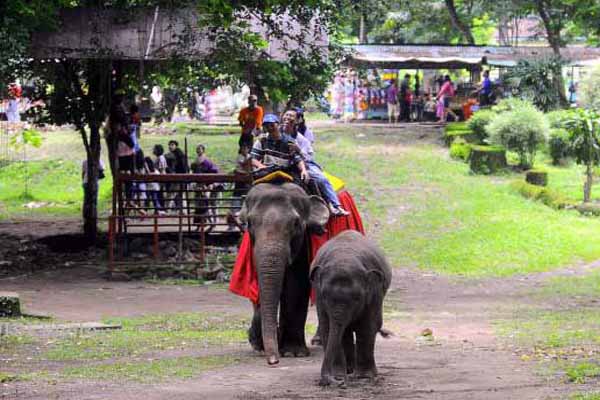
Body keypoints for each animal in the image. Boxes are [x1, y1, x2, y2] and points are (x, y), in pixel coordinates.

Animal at [239, 182, 328, 366]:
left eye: (296, 224)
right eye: (249, 222)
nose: (273, 361)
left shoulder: (303, 245)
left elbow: (296, 285)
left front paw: (293, 353)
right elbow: (259, 285)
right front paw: (259, 345)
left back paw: (318, 341)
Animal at [312, 230, 392, 386]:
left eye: (357, 299)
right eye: (325, 296)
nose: (339, 382)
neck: (344, 258)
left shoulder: (375, 291)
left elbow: (368, 326)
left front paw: (365, 377)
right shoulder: (318, 294)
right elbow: (328, 326)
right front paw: (338, 375)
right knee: (345, 332)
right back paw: (349, 370)